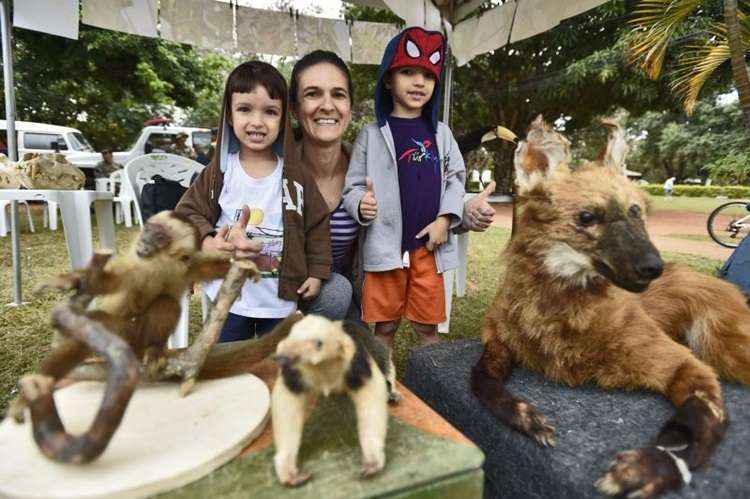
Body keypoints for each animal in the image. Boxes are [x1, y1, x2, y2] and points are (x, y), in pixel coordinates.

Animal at [270, 316, 394, 488]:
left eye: (319, 343)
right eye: (290, 335)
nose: (279, 358)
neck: (322, 367)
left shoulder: (356, 364)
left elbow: (371, 394)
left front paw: (371, 463)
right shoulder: (295, 374)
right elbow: (286, 405)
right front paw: (291, 474)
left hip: (372, 344)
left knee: (384, 361)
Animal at [472, 118, 750, 499]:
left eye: (636, 213)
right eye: (588, 217)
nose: (653, 267)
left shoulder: (682, 361)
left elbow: (699, 422)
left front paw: (648, 468)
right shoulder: (497, 341)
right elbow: (481, 380)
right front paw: (525, 417)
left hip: (720, 346)